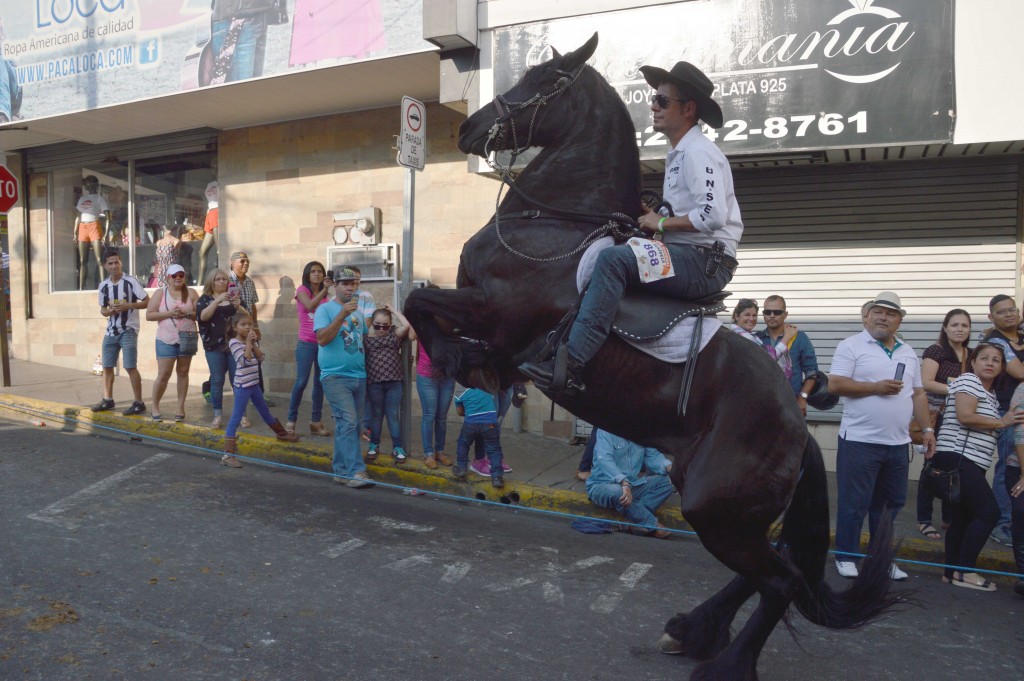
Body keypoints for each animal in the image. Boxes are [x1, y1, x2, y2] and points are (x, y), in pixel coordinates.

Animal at [403, 35, 901, 679]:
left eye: (545, 80)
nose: (472, 127)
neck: (553, 224)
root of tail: (795, 421)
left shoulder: (495, 313)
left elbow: (418, 301)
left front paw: (446, 357)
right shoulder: (494, 333)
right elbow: (434, 318)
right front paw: (464, 366)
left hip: (716, 507)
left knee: (780, 580)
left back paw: (723, 661)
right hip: (723, 505)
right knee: (771, 571)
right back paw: (691, 629)